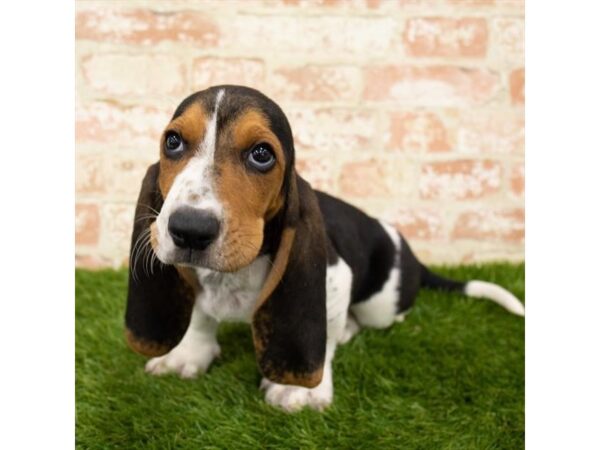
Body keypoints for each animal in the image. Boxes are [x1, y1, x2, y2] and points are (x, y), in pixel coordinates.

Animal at [124, 84, 524, 412]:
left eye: (261, 154)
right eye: (173, 142)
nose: (189, 229)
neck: (238, 272)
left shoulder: (334, 279)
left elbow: (325, 334)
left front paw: (300, 390)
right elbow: (201, 314)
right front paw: (187, 354)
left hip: (381, 305)